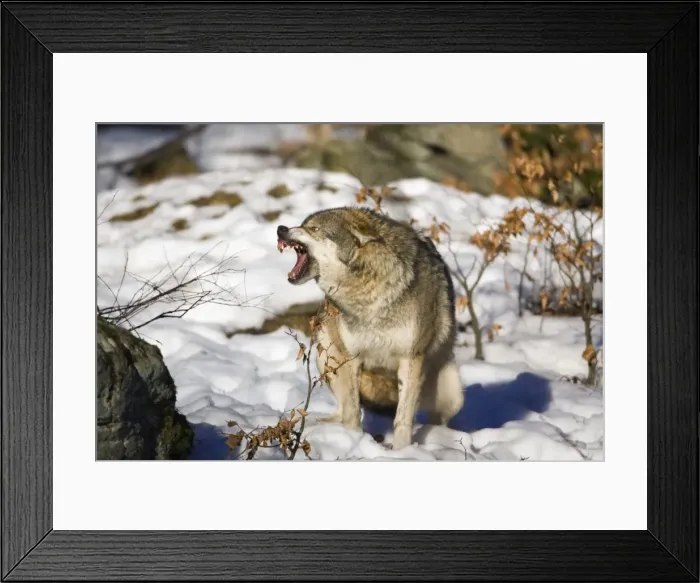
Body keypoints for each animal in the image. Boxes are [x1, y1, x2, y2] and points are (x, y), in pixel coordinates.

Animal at [276, 206, 464, 450]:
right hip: (325, 353)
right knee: (343, 409)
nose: (281, 229)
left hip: (452, 395)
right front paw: (354, 439)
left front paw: (401, 451)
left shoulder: (411, 358)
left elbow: (402, 419)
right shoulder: (352, 357)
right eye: (302, 224)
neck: (367, 293)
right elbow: (353, 411)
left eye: (314, 229)